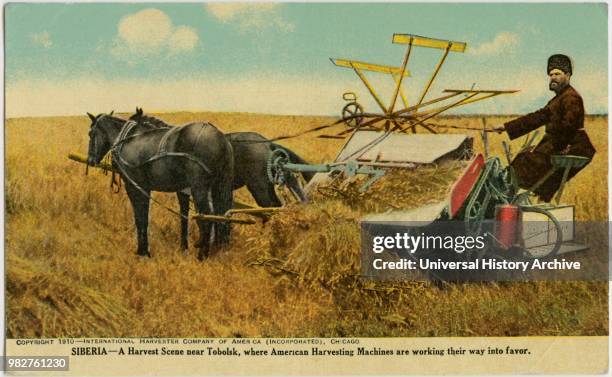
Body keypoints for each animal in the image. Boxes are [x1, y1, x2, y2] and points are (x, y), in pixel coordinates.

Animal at [87, 111, 235, 258]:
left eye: (91, 133)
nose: (90, 160)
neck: (128, 140)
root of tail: (220, 138)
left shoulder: (135, 187)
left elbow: (140, 218)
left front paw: (142, 251)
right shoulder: (158, 189)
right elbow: (158, 217)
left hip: (200, 188)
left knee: (206, 216)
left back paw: (202, 255)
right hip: (221, 185)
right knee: (222, 215)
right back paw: (219, 249)